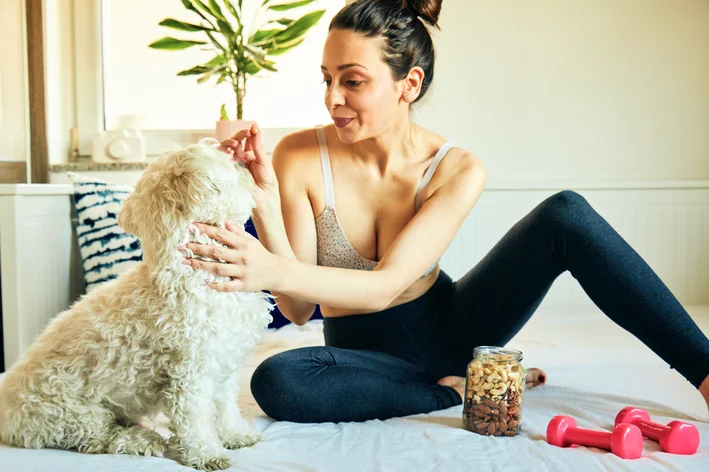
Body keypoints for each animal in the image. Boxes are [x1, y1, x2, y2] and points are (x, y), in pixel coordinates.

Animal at [0, 139, 274, 468]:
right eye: (228, 162)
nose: (244, 159)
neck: (193, 272)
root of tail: (6, 418)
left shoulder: (223, 362)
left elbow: (225, 406)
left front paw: (235, 435)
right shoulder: (189, 374)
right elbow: (195, 419)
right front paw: (205, 453)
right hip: (70, 412)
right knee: (100, 438)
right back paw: (142, 440)